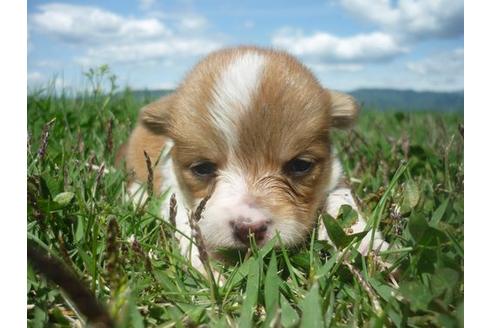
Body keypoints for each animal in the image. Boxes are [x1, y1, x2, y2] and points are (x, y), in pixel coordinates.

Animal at [119, 46, 388, 272]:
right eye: (203, 168)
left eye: (300, 165)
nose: (249, 229)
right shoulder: (175, 192)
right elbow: (189, 224)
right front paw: (209, 266)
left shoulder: (335, 176)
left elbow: (342, 200)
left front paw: (365, 244)